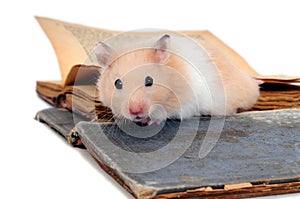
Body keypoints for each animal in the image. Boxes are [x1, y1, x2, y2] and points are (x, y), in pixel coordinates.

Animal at [94, 34, 260, 124]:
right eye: (117, 83)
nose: (135, 112)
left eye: (149, 81)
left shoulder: (186, 103)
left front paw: (151, 121)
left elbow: (164, 114)